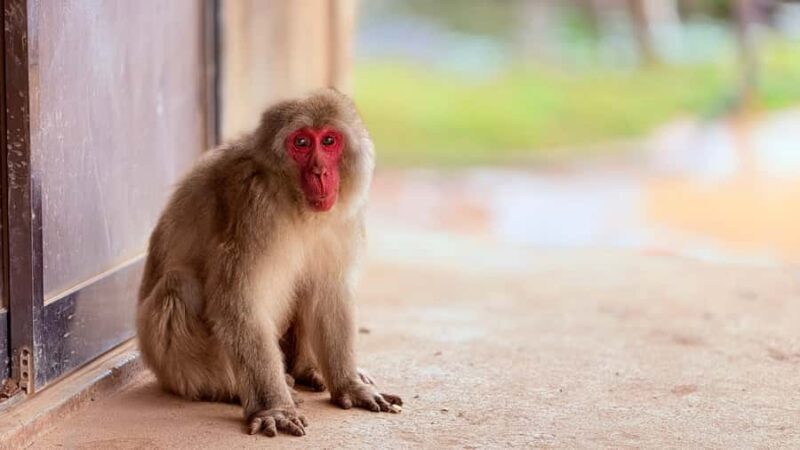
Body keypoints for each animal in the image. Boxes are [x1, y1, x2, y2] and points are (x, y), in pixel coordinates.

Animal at [136, 88, 402, 437]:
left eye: (329, 141)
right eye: (301, 143)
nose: (320, 172)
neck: (293, 199)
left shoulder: (342, 218)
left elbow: (327, 292)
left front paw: (348, 384)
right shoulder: (254, 207)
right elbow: (240, 302)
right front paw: (273, 407)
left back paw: (308, 371)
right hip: (170, 366)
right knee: (177, 285)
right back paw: (228, 388)